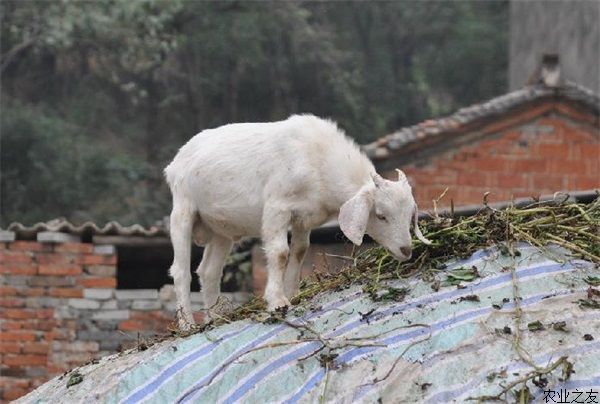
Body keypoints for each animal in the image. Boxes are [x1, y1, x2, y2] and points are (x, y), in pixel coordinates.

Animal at [164, 114, 426, 328]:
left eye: (409, 215)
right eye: (381, 215)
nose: (406, 250)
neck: (319, 160)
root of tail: (175, 163)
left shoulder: (303, 217)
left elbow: (300, 251)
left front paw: (292, 294)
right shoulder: (277, 207)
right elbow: (280, 252)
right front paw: (277, 301)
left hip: (221, 230)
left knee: (209, 271)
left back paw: (214, 318)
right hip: (182, 210)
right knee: (181, 270)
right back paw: (187, 324)